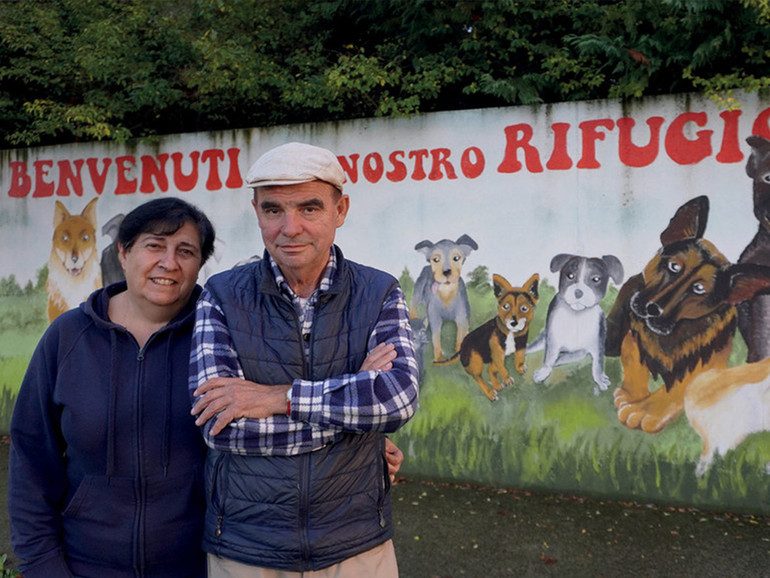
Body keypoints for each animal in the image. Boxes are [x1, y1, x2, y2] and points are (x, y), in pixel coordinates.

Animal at [532, 252, 620, 392]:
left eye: (596, 279)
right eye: (570, 276)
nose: (578, 292)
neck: (577, 315)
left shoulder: (597, 344)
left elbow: (598, 364)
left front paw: (599, 379)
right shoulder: (553, 340)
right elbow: (549, 357)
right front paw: (543, 373)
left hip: (581, 352)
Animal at [604, 196, 770, 430]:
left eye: (698, 289)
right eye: (674, 266)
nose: (652, 309)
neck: (674, 331)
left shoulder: (709, 361)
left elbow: (682, 386)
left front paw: (647, 410)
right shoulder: (634, 340)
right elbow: (633, 362)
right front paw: (632, 396)